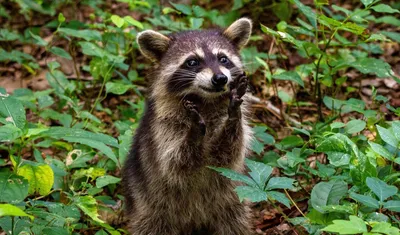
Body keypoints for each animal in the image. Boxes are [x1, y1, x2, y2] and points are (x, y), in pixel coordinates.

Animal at [122, 18, 253, 235]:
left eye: (223, 59)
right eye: (192, 62)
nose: (220, 78)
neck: (205, 101)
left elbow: (228, 154)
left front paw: (233, 115)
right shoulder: (162, 127)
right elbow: (175, 163)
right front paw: (194, 132)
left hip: (232, 202)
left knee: (235, 224)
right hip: (149, 207)